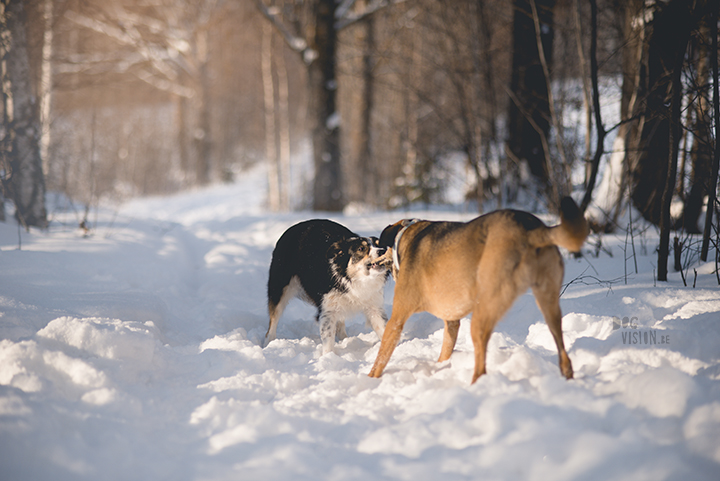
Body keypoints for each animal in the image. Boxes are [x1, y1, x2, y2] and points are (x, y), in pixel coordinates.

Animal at [262, 218, 390, 352]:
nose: (382, 251)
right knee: (273, 322)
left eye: (380, 245)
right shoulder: (327, 311)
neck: (356, 280)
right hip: (279, 288)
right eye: (361, 248)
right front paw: (329, 355)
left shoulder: (374, 306)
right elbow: (328, 340)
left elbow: (384, 330)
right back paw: (268, 344)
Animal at [368, 196, 588, 382]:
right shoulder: (452, 321)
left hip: (483, 312)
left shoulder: (397, 318)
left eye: (380, 245)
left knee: (481, 363)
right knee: (563, 352)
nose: (375, 255)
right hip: (549, 304)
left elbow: (381, 357)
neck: (405, 238)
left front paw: (370, 379)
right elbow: (445, 350)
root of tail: (530, 229)